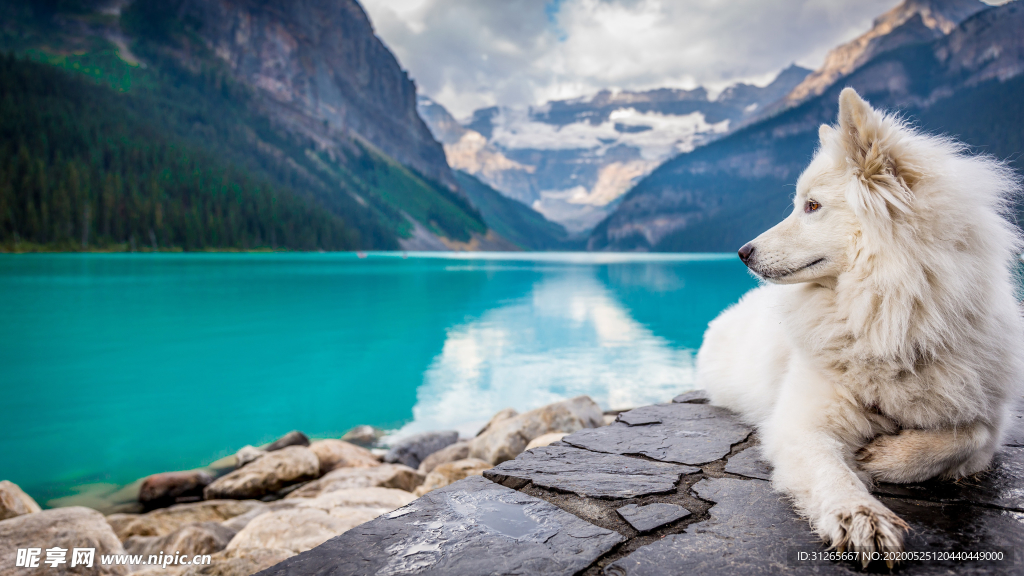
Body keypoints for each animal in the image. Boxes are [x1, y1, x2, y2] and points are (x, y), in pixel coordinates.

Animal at [696, 87, 1024, 557]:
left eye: (812, 206)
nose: (742, 252)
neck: (889, 317)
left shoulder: (990, 418)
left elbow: (967, 436)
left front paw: (886, 457)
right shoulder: (801, 424)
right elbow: (832, 474)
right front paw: (859, 515)